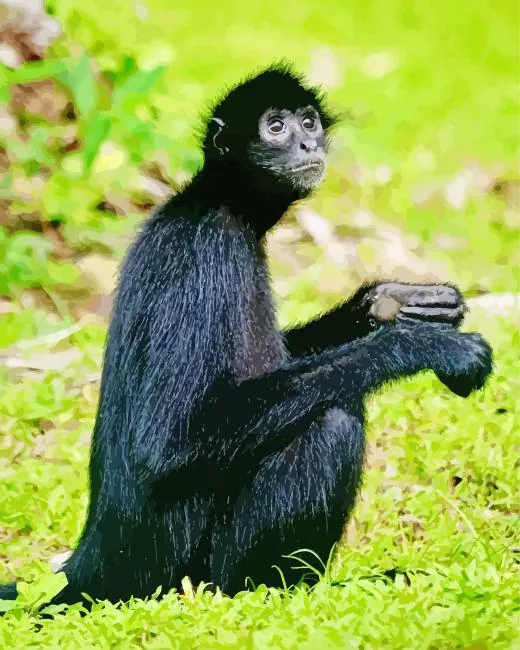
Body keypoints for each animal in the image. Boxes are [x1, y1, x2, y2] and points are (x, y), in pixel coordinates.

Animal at [0, 63, 492, 608]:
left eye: (308, 122)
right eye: (275, 127)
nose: (307, 144)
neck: (218, 201)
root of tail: (94, 564)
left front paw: (387, 302)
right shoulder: (206, 252)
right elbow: (166, 446)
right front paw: (419, 344)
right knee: (333, 420)